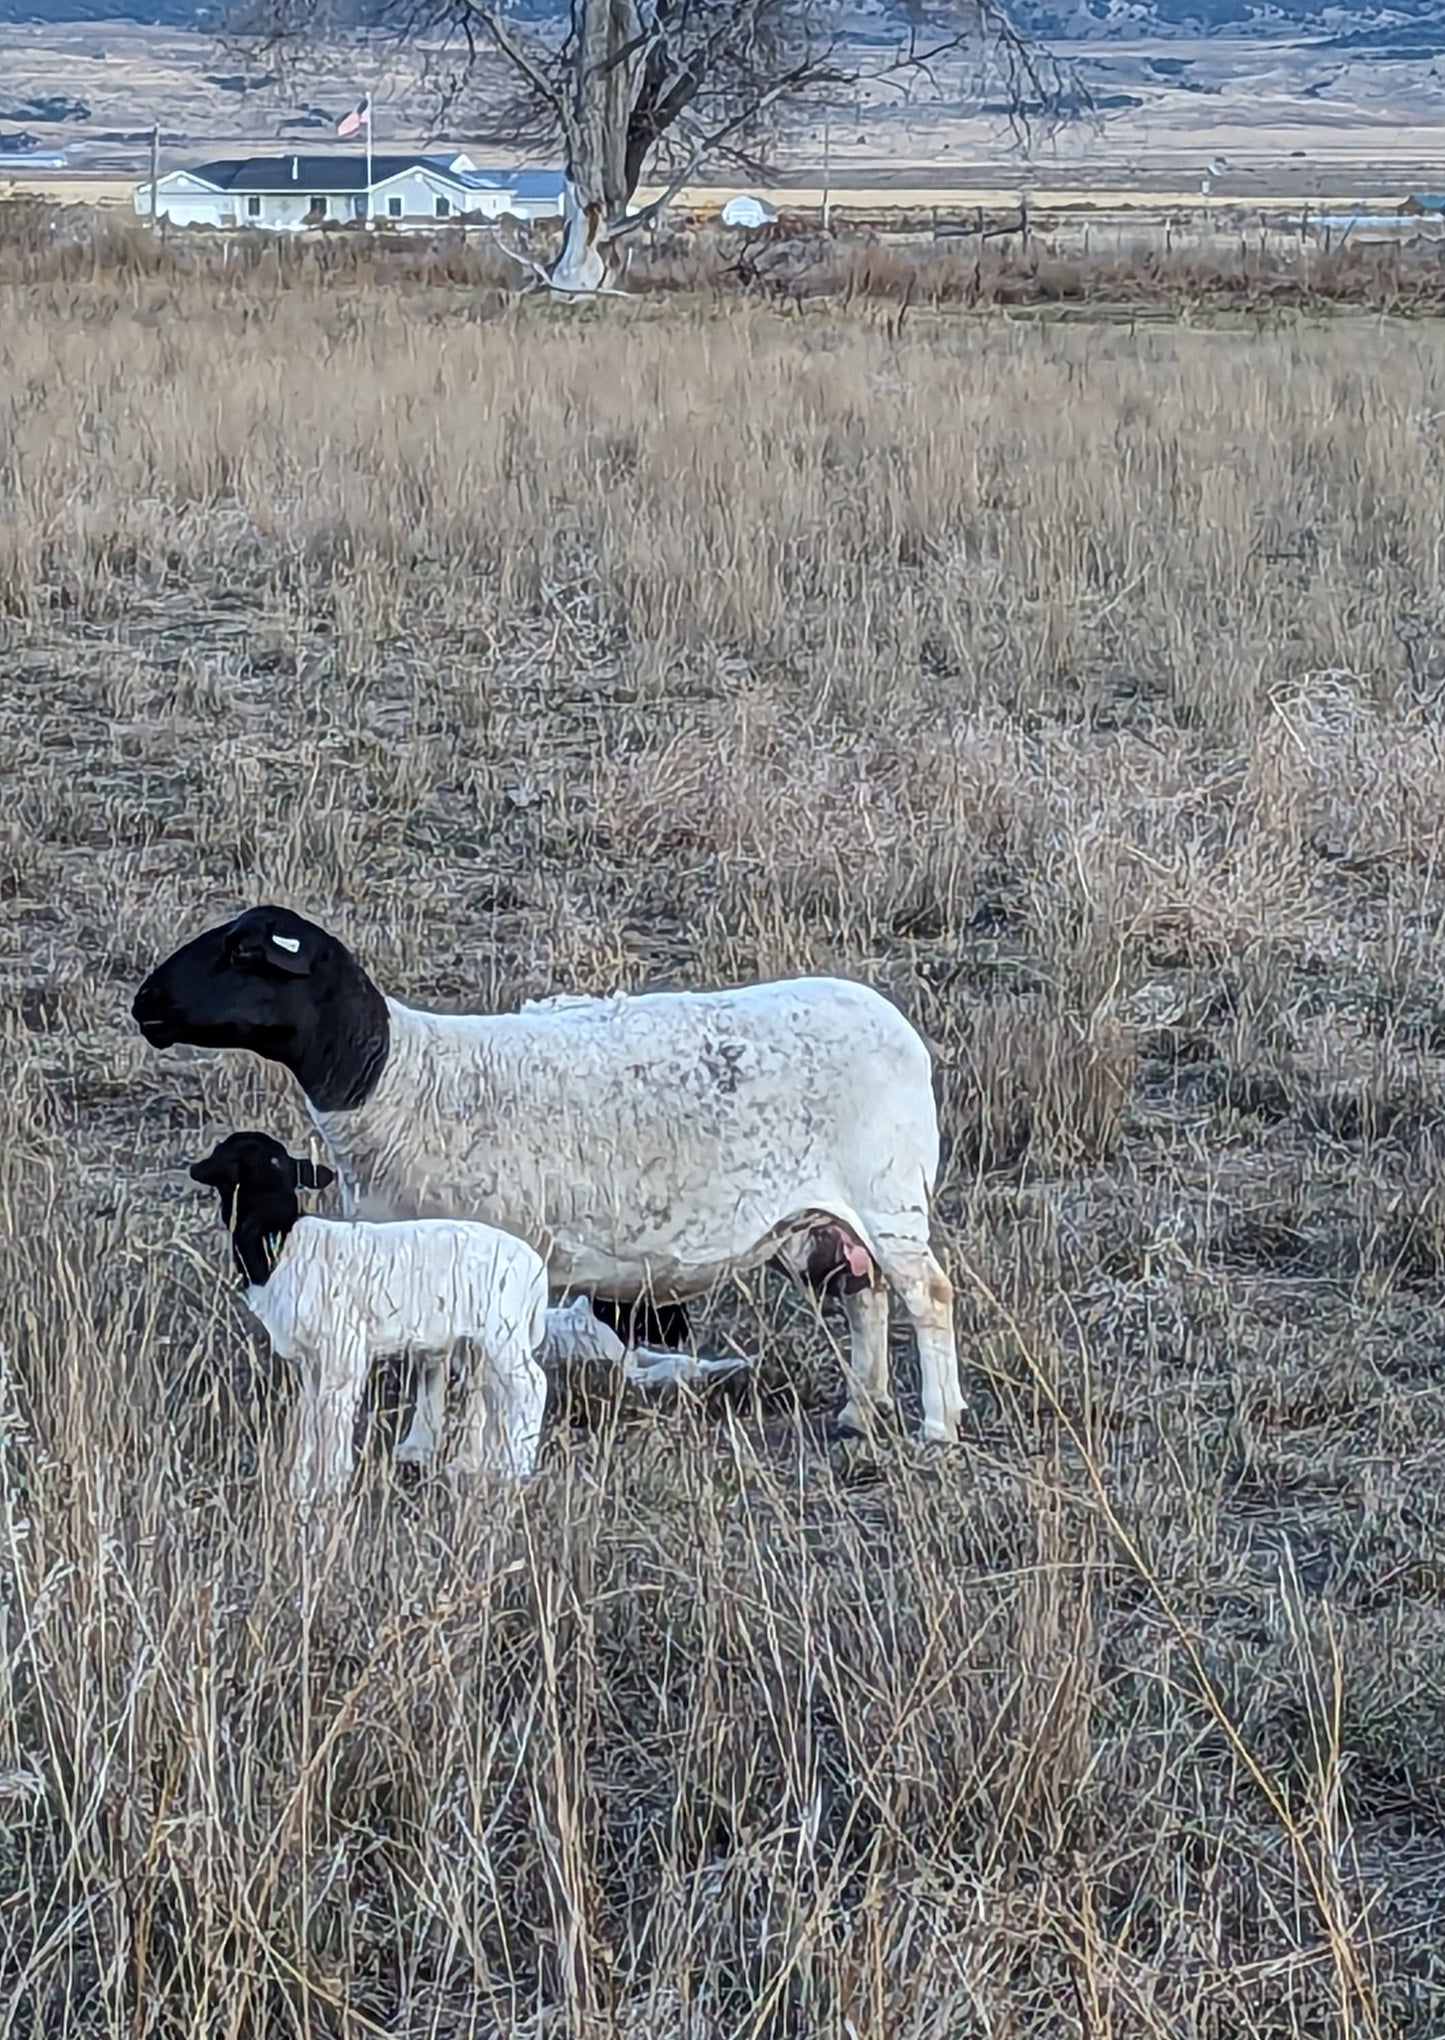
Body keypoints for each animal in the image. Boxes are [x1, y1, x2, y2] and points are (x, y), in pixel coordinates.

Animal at [136, 906, 963, 1443]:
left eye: (245, 952)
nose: (145, 1003)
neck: (395, 1077)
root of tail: (897, 1026)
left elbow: (472, 1372)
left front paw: (468, 1455)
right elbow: (434, 1361)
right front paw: (420, 1449)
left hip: (887, 1195)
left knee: (927, 1296)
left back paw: (937, 1424)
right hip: (823, 1221)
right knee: (864, 1297)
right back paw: (859, 1414)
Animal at [189, 1130, 551, 1501]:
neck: (280, 1238)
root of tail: (536, 1270)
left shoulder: (343, 1349)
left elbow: (332, 1414)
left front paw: (330, 1485)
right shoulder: (311, 1359)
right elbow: (309, 1416)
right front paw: (301, 1487)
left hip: (503, 1333)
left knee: (531, 1386)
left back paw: (516, 1468)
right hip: (482, 1342)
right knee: (495, 1395)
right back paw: (483, 1467)